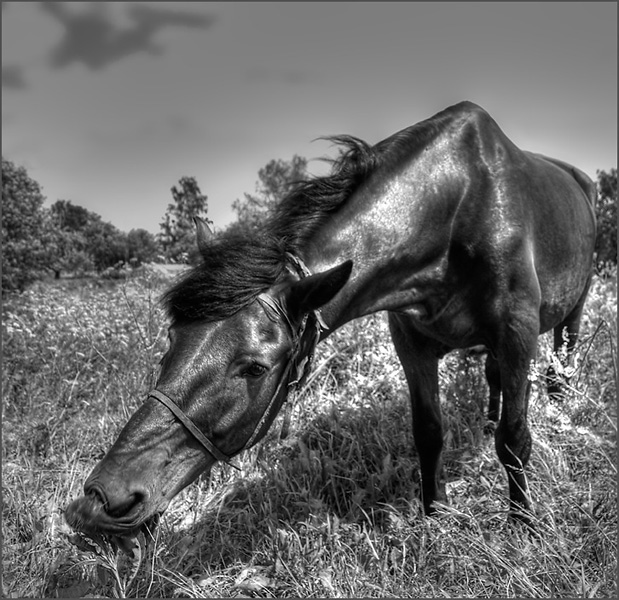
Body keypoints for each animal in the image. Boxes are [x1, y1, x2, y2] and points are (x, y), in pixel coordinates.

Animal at [65, 101, 600, 540]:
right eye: (171, 340)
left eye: (255, 368)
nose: (104, 498)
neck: (458, 207)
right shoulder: (413, 343)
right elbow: (429, 433)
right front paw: (435, 515)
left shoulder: (516, 334)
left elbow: (514, 439)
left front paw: (522, 525)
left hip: (571, 313)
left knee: (559, 368)